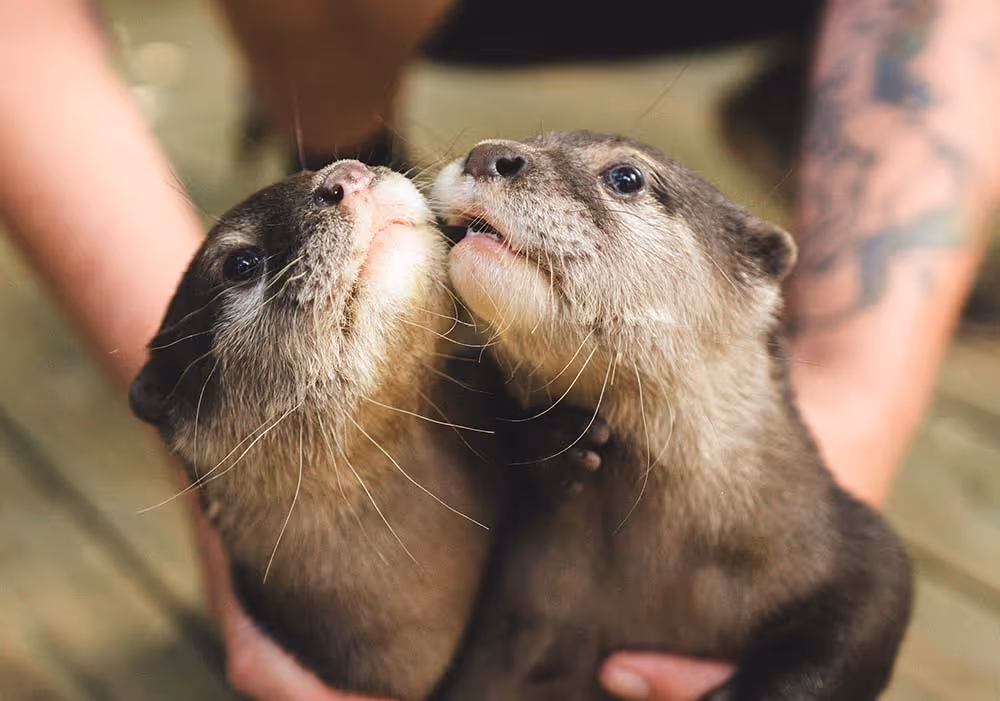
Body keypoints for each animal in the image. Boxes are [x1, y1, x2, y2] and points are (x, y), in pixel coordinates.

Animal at [429, 131, 913, 700]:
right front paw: (558, 441)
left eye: (626, 177)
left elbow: (873, 606)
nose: (488, 154)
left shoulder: (845, 541)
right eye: (539, 137)